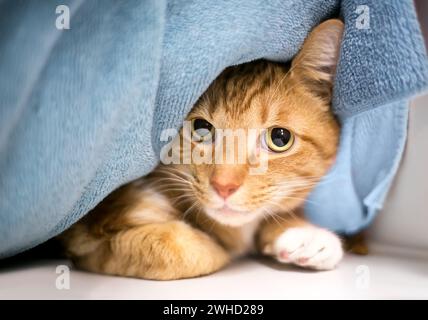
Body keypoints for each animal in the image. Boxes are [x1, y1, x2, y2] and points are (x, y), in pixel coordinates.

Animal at [61, 19, 344, 280]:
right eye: (202, 128)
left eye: (279, 137)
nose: (224, 186)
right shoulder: (87, 233)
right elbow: (182, 250)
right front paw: (217, 246)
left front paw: (303, 233)